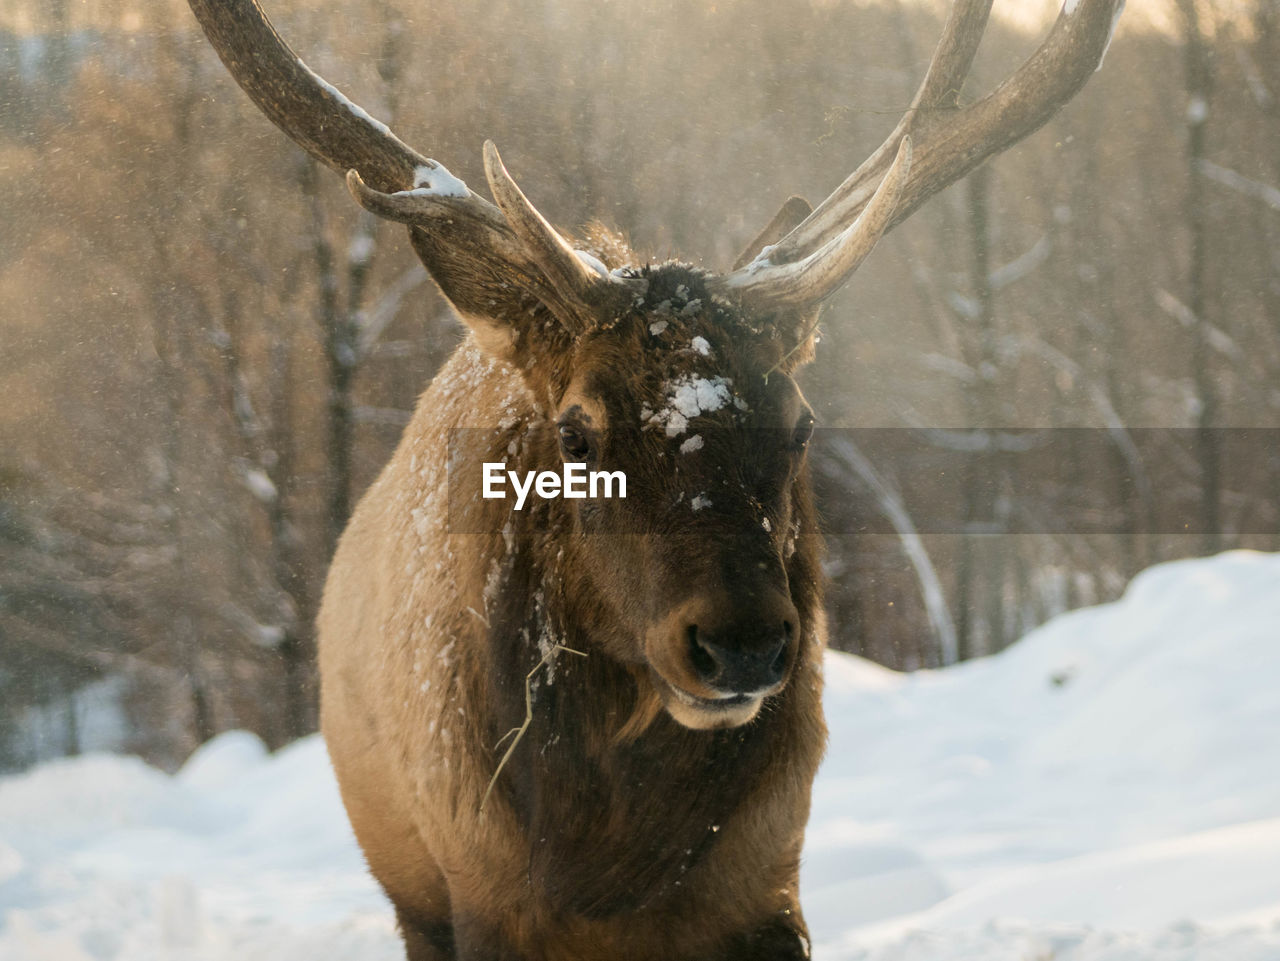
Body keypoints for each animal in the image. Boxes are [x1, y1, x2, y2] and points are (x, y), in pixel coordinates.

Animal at [186, 3, 1121, 957]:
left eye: (801, 422)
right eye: (575, 432)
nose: (742, 640)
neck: (614, 875)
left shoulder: (765, 881)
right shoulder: (481, 894)